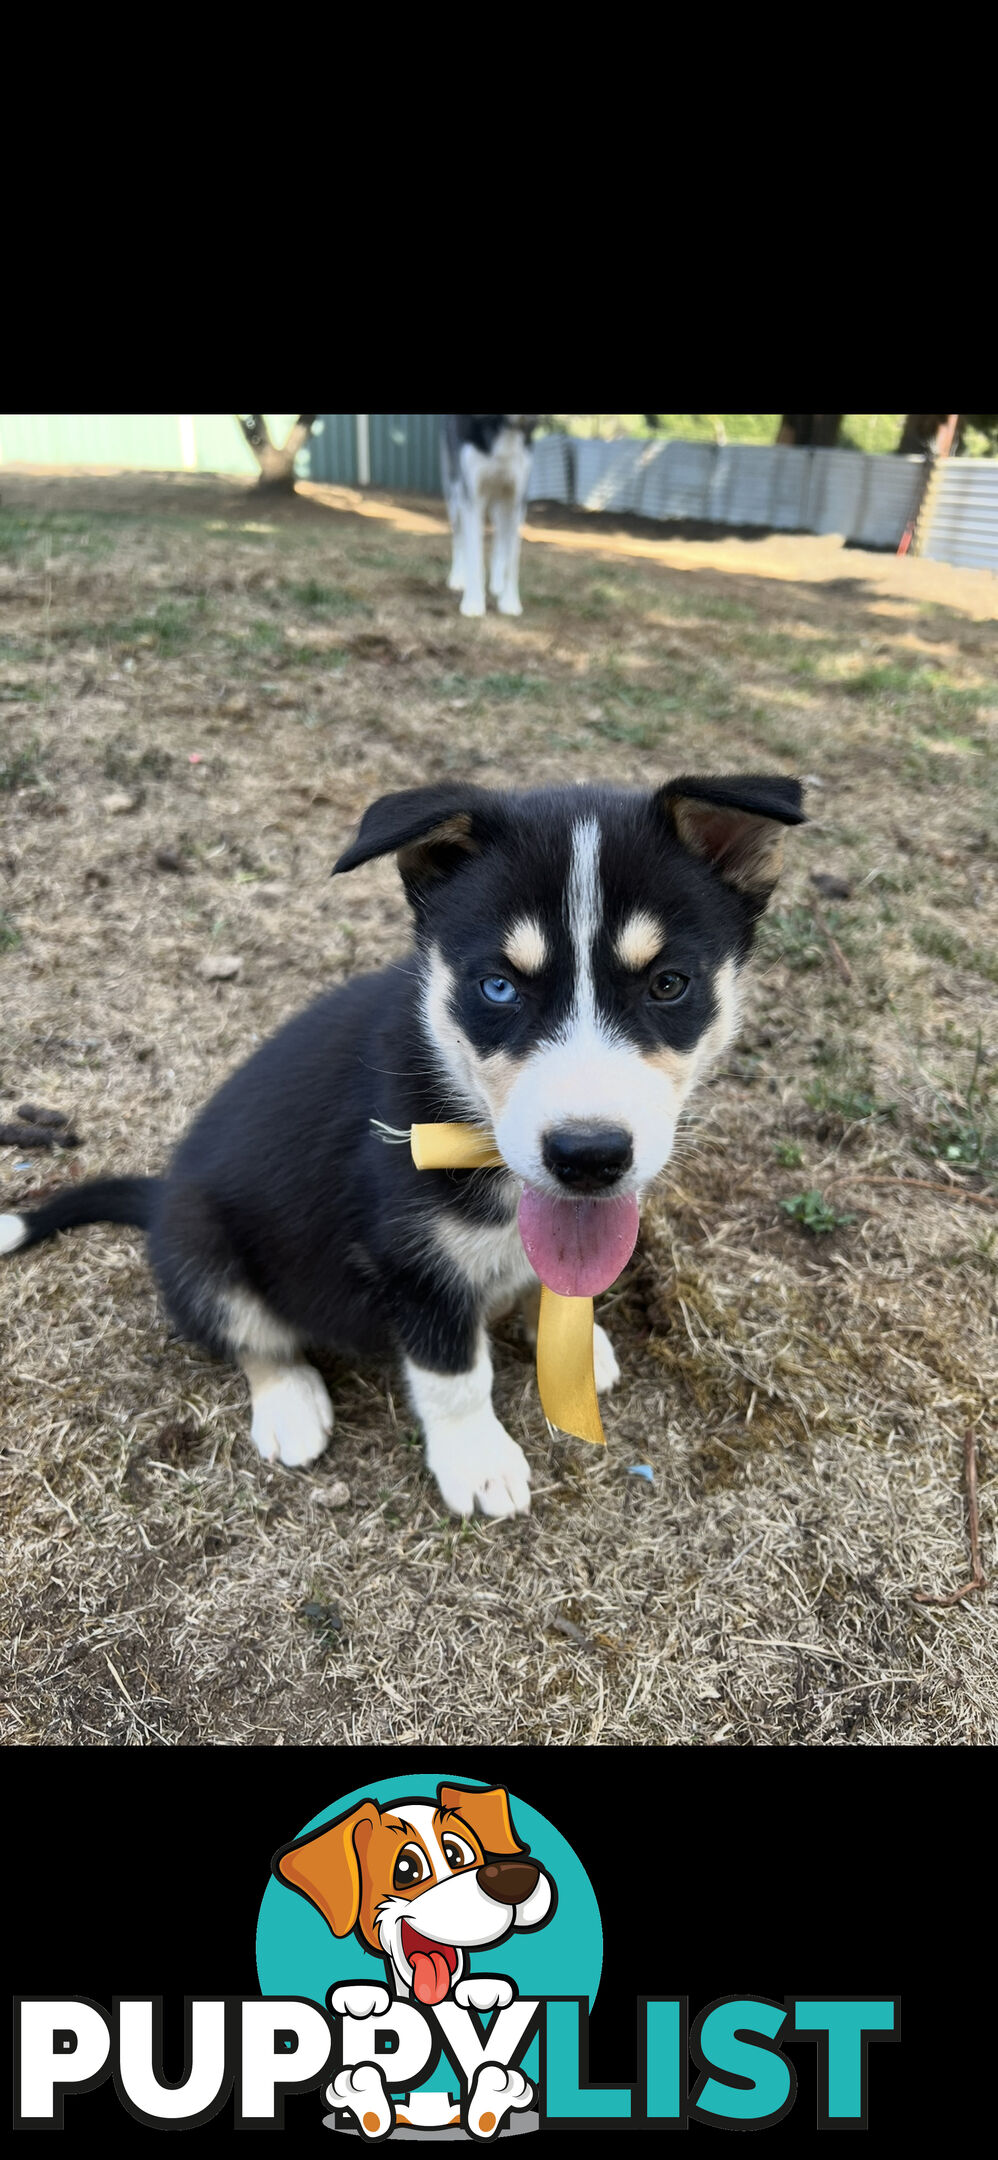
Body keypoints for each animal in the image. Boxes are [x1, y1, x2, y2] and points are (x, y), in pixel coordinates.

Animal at [0, 777, 803, 1520]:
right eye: (497, 987)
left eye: (669, 984)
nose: (588, 1157)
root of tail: (162, 1194)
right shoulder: (412, 1264)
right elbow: (455, 1375)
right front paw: (477, 1462)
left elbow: (551, 1277)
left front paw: (574, 1340)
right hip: (202, 1243)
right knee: (250, 1336)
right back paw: (291, 1403)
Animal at [440, 412, 537, 617]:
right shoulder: (472, 496)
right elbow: (474, 555)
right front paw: (473, 603)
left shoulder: (516, 498)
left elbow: (512, 559)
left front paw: (510, 602)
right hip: (455, 495)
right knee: (459, 537)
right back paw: (458, 577)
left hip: (499, 503)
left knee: (500, 537)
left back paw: (497, 584)